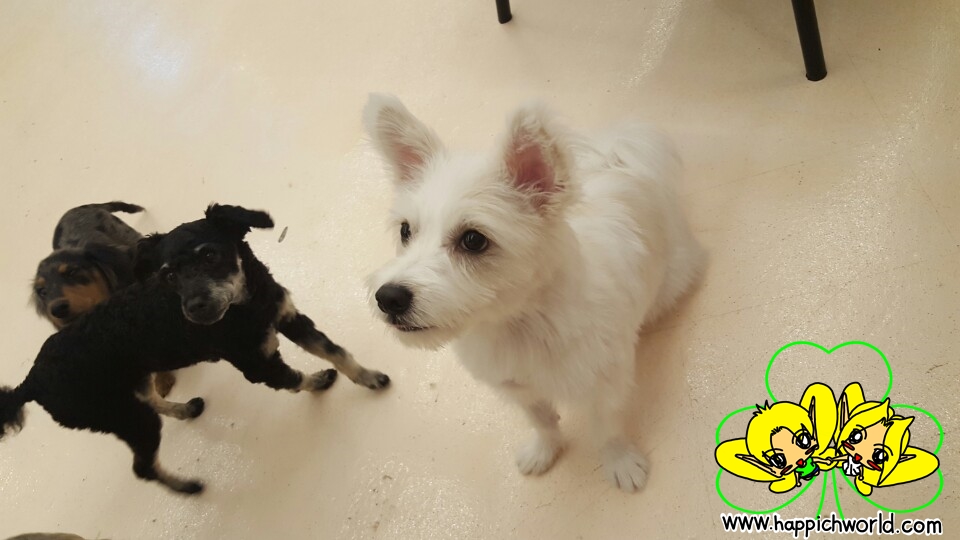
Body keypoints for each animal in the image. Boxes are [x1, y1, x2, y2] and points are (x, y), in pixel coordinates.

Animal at [364, 95, 705, 492]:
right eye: (406, 231)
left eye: (474, 240)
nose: (388, 297)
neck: (521, 322)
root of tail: (612, 158)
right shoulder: (518, 389)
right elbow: (542, 422)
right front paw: (545, 451)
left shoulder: (605, 386)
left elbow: (607, 431)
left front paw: (620, 462)